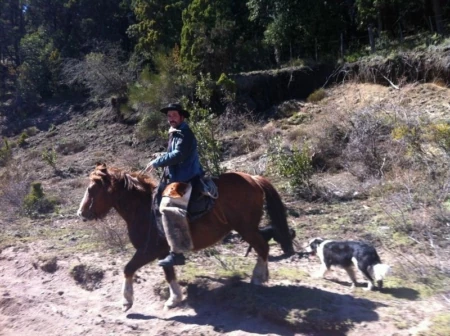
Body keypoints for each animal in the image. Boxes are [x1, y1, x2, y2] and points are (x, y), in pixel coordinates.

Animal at [77, 164, 294, 312]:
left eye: (91, 189)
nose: (81, 213)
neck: (142, 209)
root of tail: (253, 178)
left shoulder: (149, 250)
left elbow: (128, 268)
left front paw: (126, 301)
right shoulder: (163, 252)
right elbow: (169, 273)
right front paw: (174, 299)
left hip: (245, 228)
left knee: (262, 247)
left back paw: (257, 277)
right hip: (249, 228)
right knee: (262, 246)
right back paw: (263, 275)